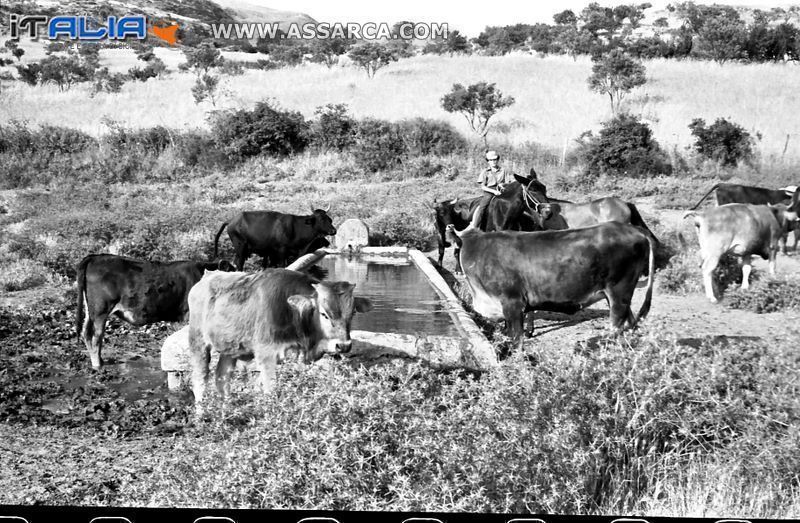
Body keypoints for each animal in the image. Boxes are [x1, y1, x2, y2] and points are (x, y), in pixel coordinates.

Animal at [75, 254, 234, 368]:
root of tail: (95, 257)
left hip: (91, 312)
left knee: (86, 333)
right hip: (100, 311)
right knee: (96, 336)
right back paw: (98, 364)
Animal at [446, 215, 652, 350]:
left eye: (456, 250)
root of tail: (635, 231)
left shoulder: (513, 304)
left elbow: (517, 341)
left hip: (619, 293)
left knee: (618, 328)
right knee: (631, 325)